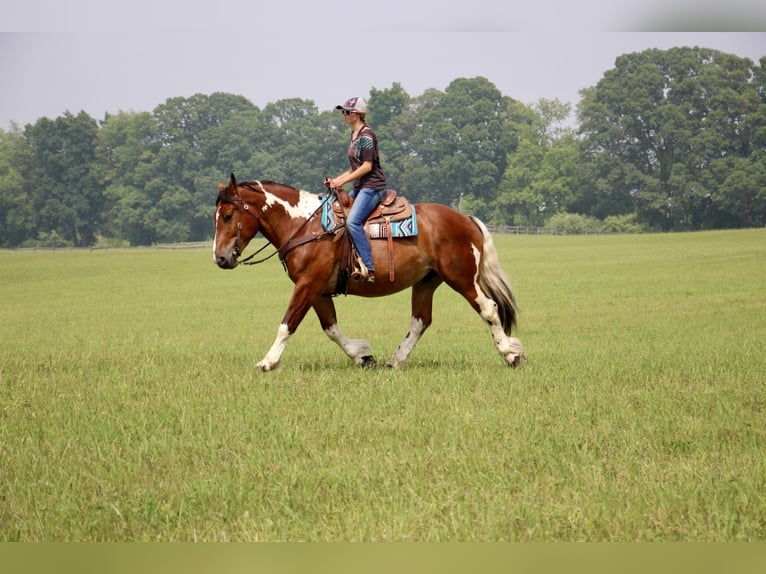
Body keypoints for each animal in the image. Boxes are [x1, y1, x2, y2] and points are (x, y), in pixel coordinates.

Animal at [216, 174, 528, 374]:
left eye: (229, 216)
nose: (220, 258)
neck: (306, 226)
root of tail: (466, 218)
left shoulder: (307, 285)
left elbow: (287, 324)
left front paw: (267, 362)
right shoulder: (318, 290)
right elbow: (331, 329)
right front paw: (363, 357)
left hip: (463, 278)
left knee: (488, 309)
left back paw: (511, 354)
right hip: (426, 282)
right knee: (420, 321)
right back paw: (396, 360)